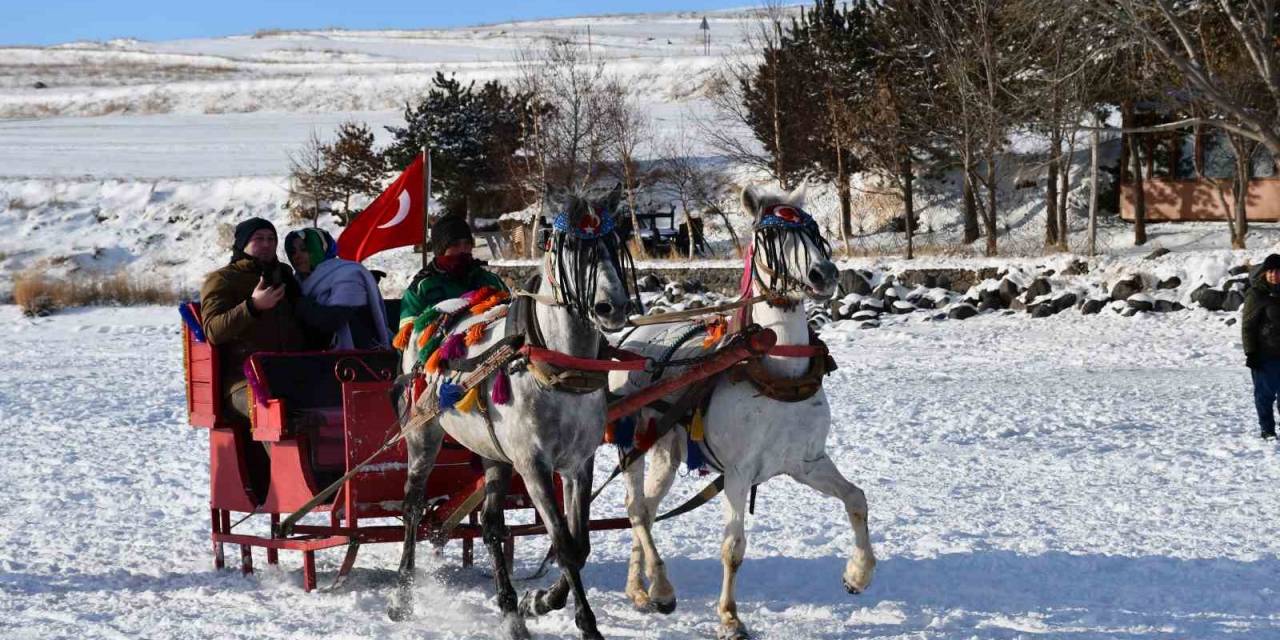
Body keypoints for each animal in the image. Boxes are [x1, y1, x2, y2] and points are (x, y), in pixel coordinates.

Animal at [386, 186, 632, 640]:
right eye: (571, 247)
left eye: (614, 241)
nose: (612, 308)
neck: (556, 365)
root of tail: (427, 320)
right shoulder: (534, 466)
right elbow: (563, 544)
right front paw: (585, 623)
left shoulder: (578, 463)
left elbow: (579, 544)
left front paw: (540, 601)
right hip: (423, 436)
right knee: (412, 506)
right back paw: (402, 595)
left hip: (493, 452)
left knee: (490, 524)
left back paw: (510, 611)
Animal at [606, 185, 870, 640]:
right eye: (770, 238)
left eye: (813, 230)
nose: (824, 274)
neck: (777, 371)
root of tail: (633, 337)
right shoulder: (738, 472)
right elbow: (733, 547)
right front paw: (729, 617)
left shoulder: (807, 462)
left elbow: (856, 498)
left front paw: (858, 574)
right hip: (632, 443)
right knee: (636, 509)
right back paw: (661, 588)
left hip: (667, 451)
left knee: (649, 510)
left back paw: (639, 590)